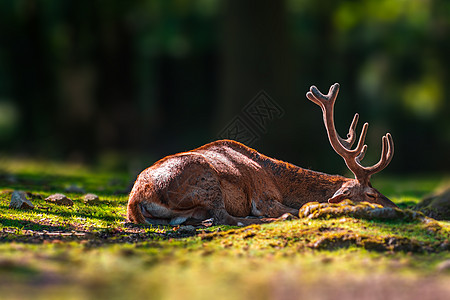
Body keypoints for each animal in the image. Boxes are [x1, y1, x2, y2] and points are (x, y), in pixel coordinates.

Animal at [125, 82, 394, 225]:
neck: (278, 182)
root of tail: (137, 196)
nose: (395, 207)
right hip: (206, 179)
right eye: (371, 194)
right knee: (225, 216)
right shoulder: (264, 197)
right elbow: (293, 208)